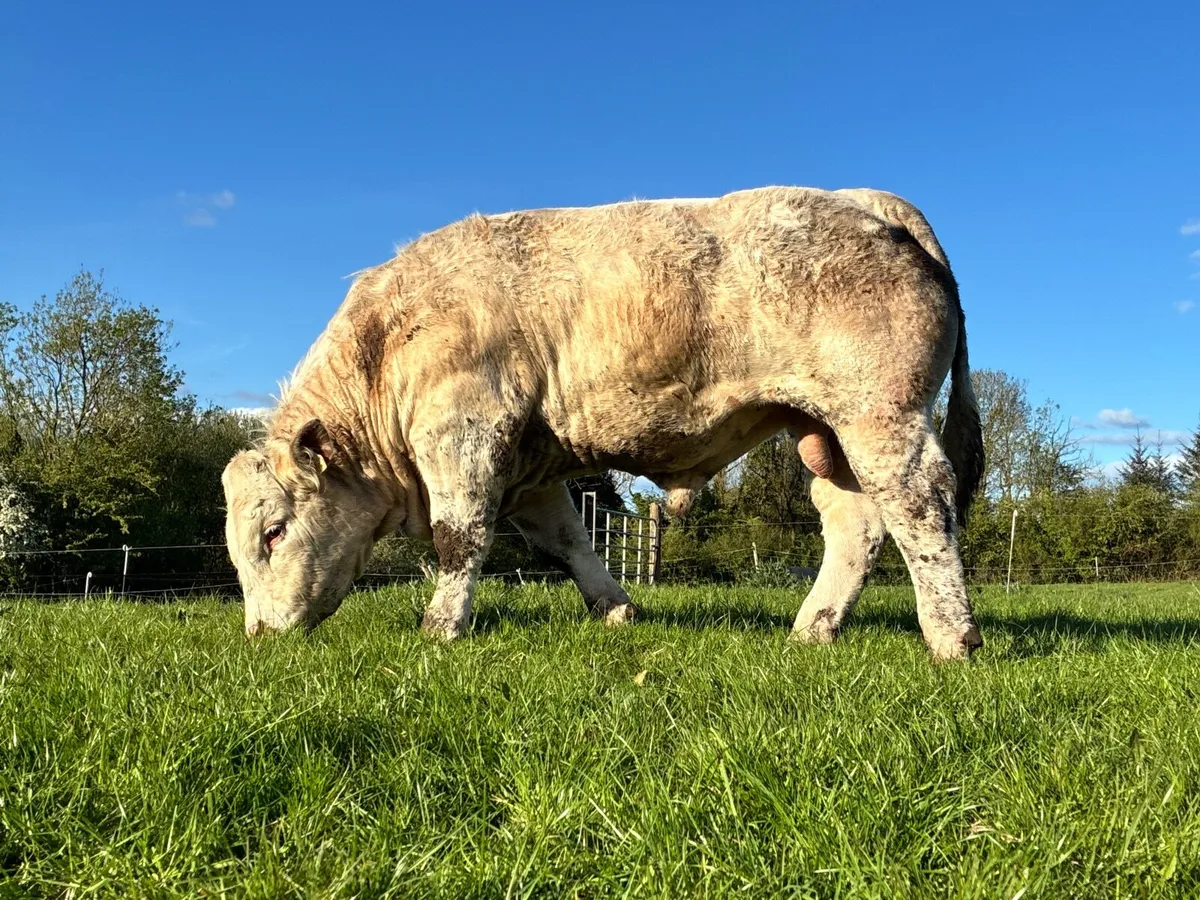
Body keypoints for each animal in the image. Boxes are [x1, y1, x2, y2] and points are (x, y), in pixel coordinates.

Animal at [222, 186, 985, 660]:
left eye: (274, 530)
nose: (258, 635)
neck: (388, 343)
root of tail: (865, 198)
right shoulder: (528, 469)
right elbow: (567, 542)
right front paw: (616, 609)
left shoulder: (464, 432)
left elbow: (459, 538)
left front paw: (441, 629)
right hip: (824, 432)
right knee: (857, 523)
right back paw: (813, 628)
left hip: (880, 413)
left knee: (920, 504)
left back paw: (953, 637)